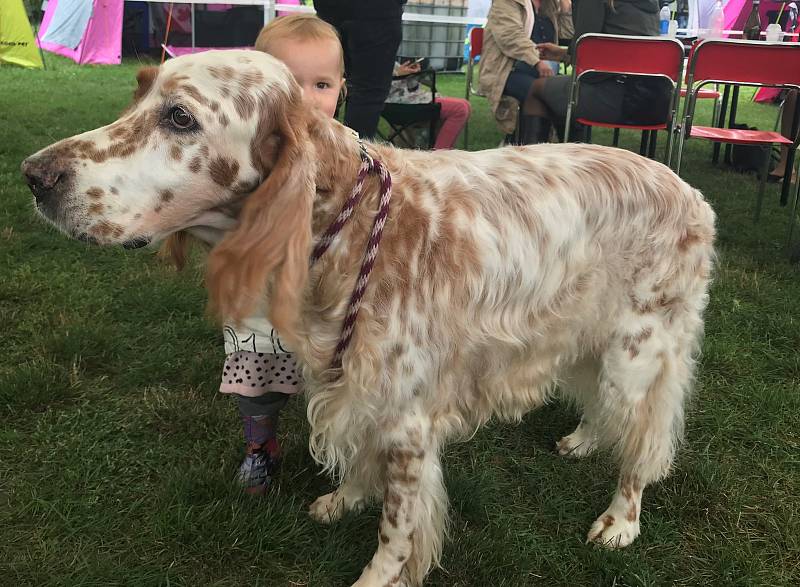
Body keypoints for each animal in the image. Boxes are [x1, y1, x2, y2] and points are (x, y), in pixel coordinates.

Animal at [21, 50, 716, 587]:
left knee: (643, 440)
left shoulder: (408, 422)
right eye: (139, 96)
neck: (343, 226)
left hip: (638, 352)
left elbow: (397, 527)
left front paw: (378, 574)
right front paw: (343, 498)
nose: (33, 174)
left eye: (180, 117)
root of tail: (690, 191)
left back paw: (621, 519)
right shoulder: (347, 379)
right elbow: (359, 455)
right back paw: (584, 439)